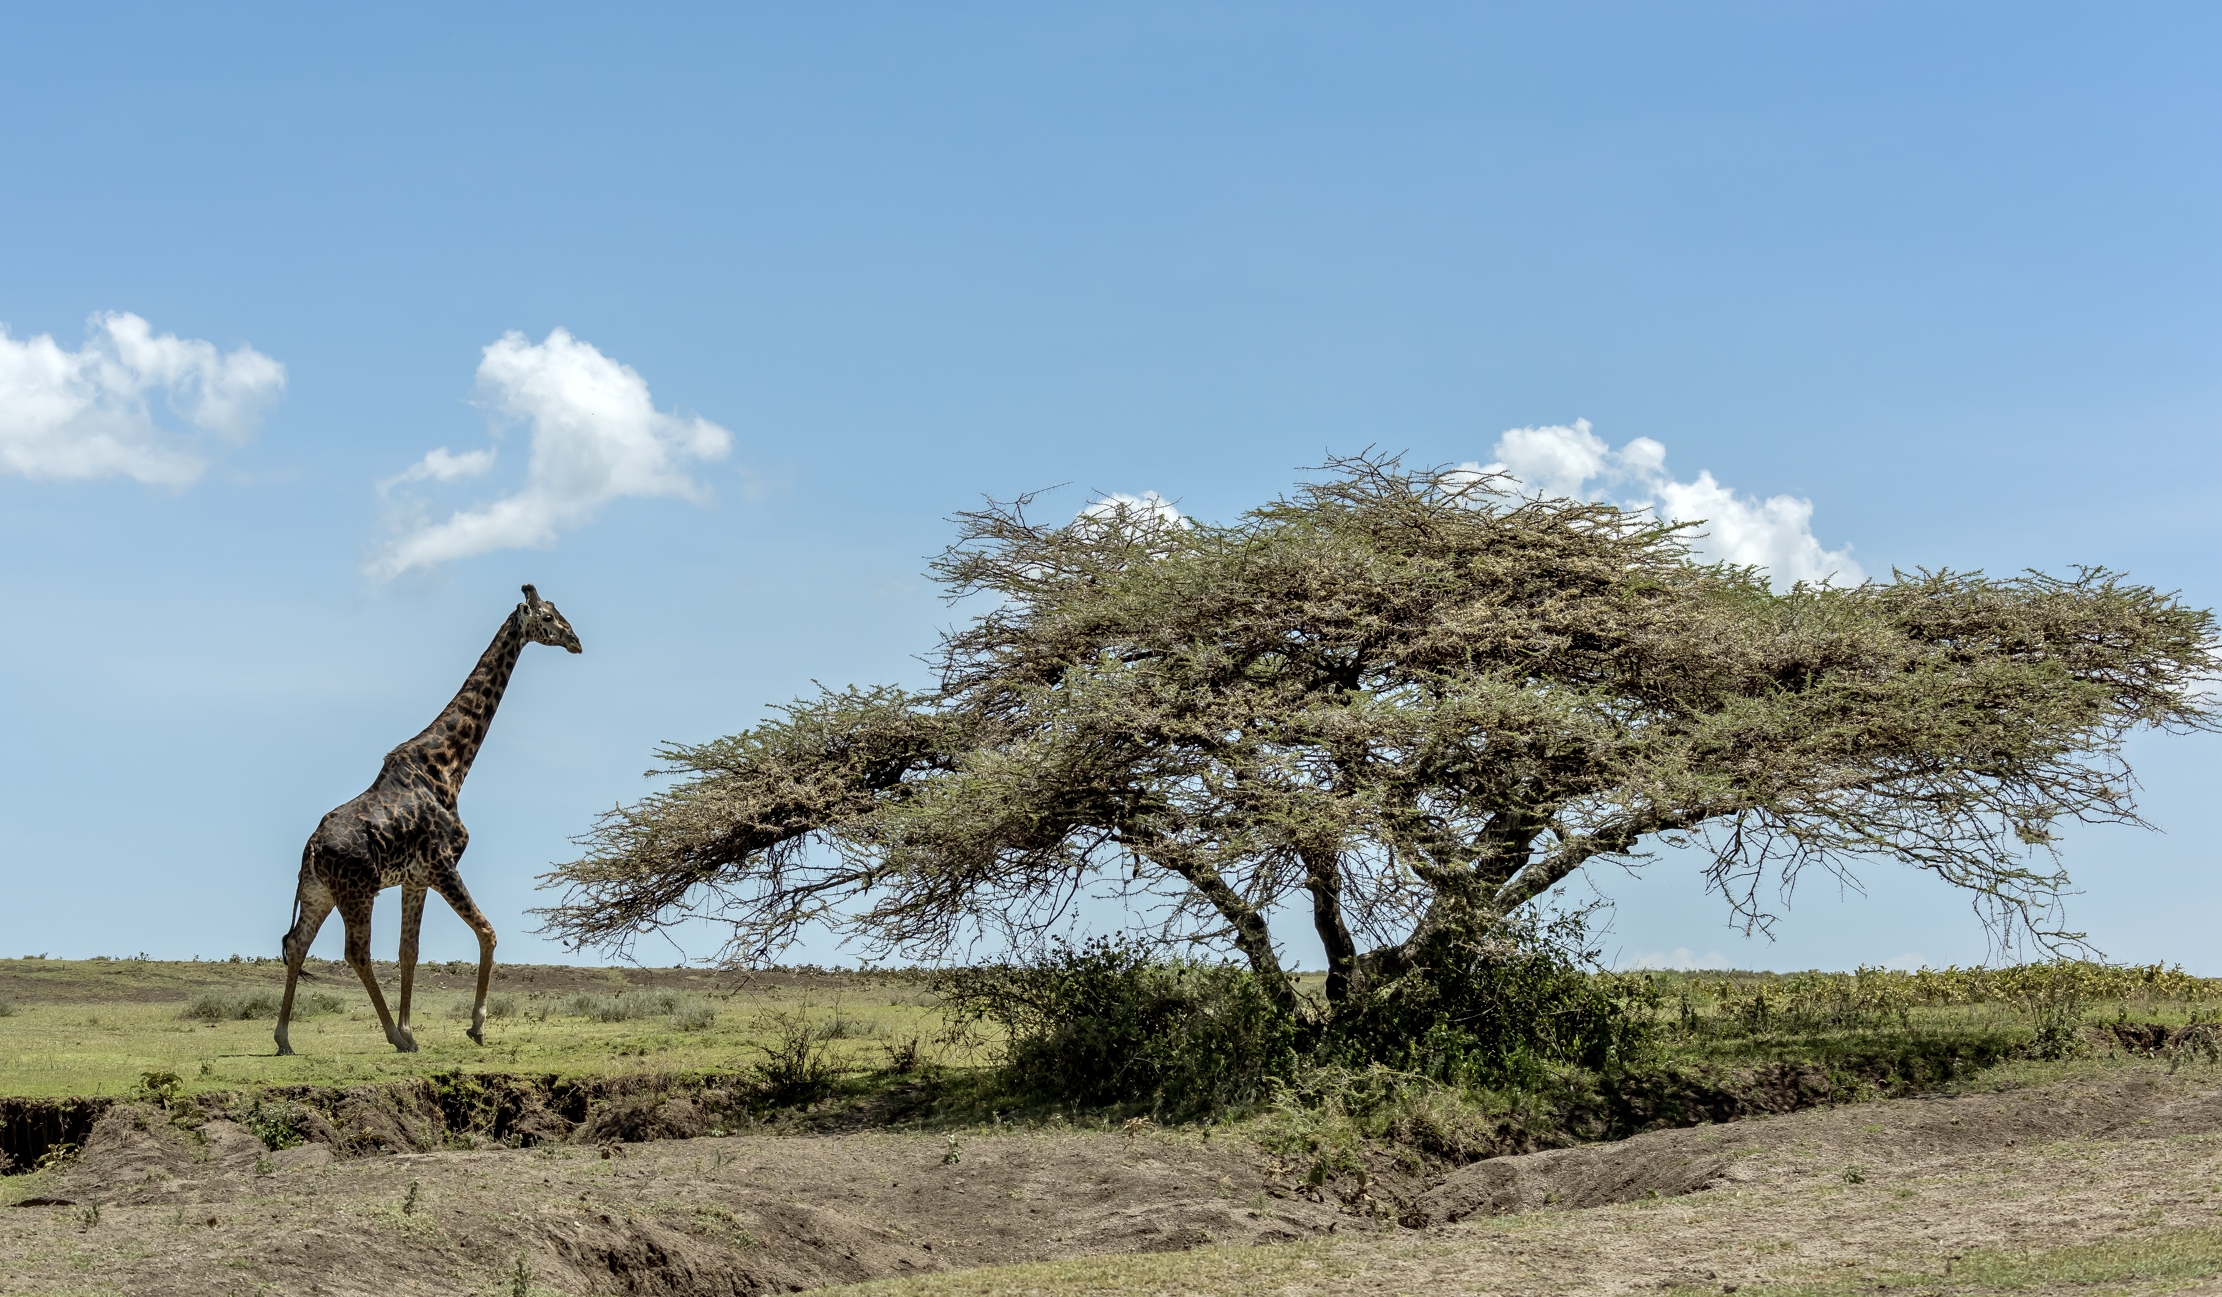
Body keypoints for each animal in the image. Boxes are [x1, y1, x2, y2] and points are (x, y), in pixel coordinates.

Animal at [274, 584, 582, 1055]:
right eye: (547, 616)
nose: (576, 640)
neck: (450, 766)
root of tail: (311, 847)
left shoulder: (415, 878)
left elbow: (409, 951)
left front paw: (414, 1030)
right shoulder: (442, 864)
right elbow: (488, 932)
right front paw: (474, 1026)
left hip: (318, 892)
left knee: (297, 943)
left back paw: (285, 1038)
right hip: (357, 891)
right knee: (356, 951)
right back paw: (390, 1036)